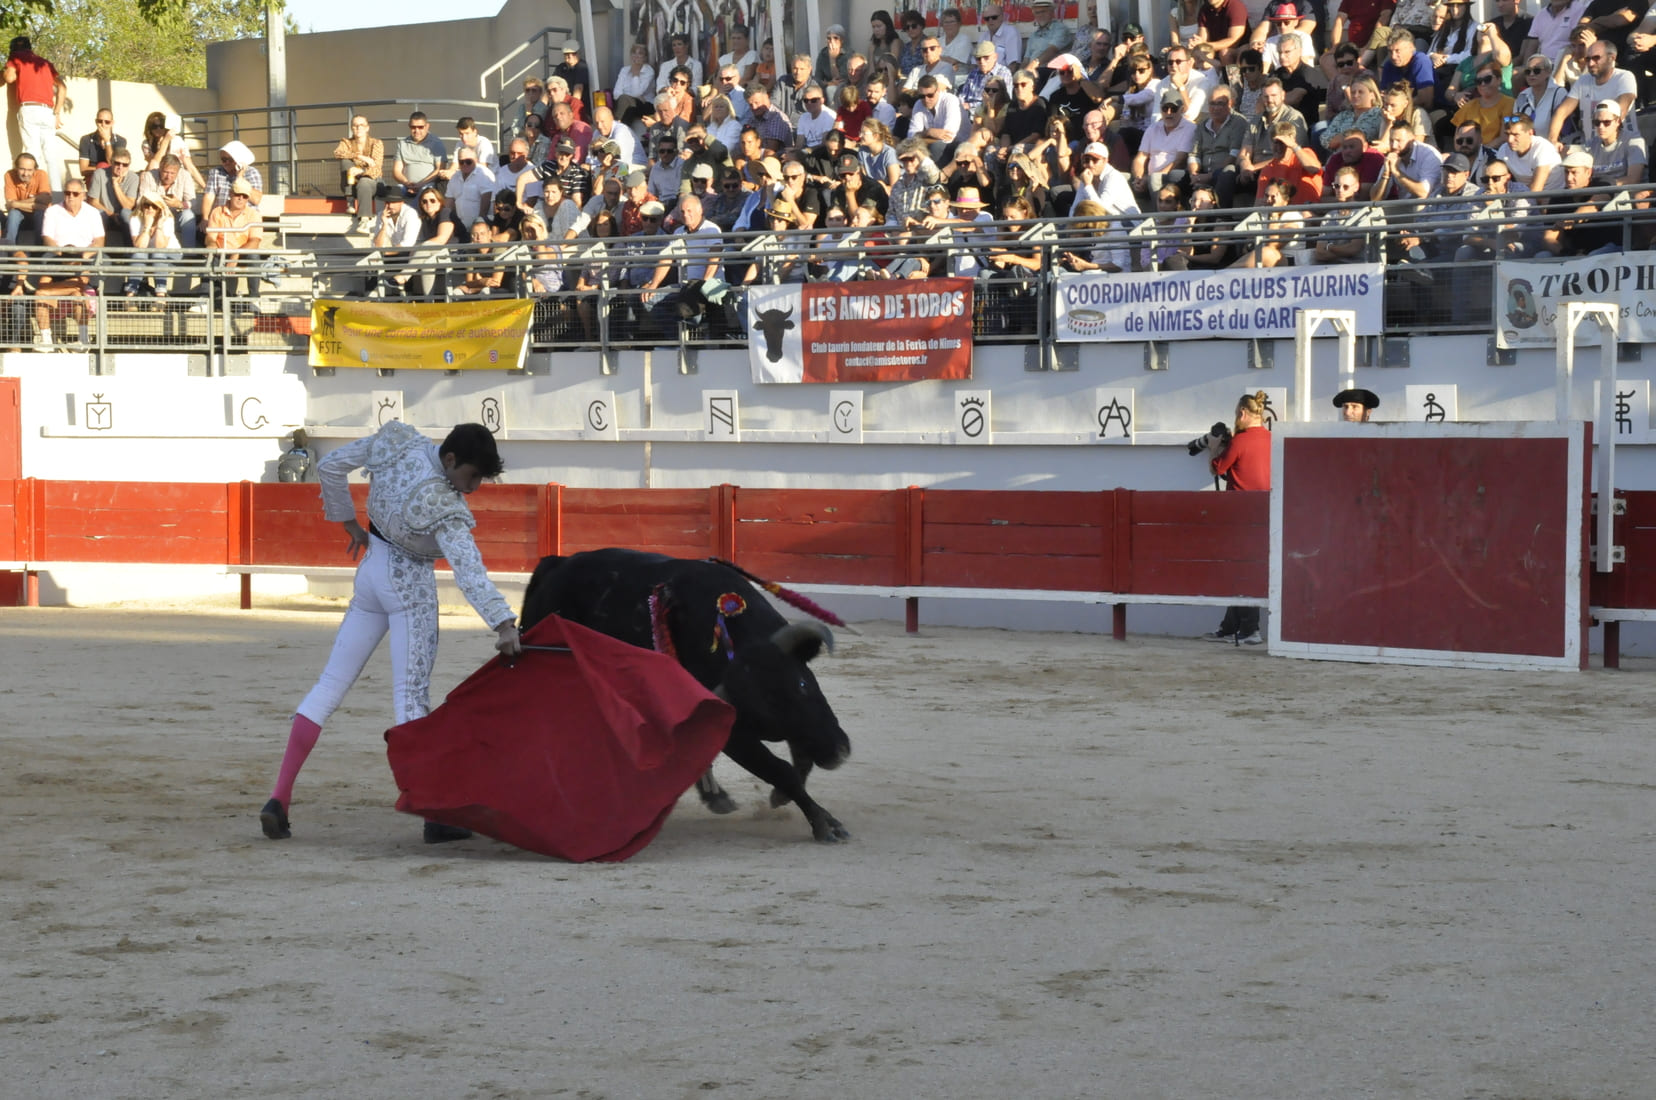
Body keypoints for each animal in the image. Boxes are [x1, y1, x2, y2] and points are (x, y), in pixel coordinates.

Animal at [519, 550, 854, 841]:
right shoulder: (735, 731)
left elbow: (800, 759)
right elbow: (780, 769)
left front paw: (793, 801)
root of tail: (556, 563)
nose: (837, 753)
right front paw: (824, 824)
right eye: (761, 711)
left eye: (802, 684)